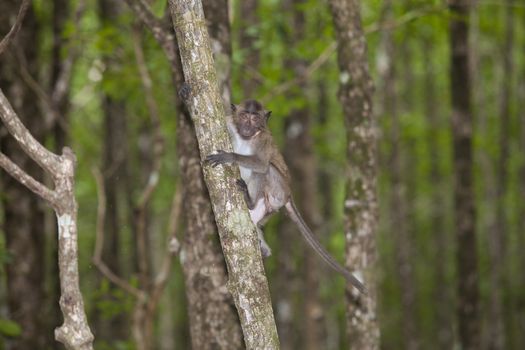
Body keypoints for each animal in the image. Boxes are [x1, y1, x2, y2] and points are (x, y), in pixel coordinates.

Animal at [205, 100, 364, 294]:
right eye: (243, 116)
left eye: (254, 118)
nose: (248, 127)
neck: (246, 138)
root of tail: (289, 194)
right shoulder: (230, 123)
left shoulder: (263, 140)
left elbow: (261, 164)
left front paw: (230, 156)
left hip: (277, 192)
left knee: (266, 170)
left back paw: (250, 201)